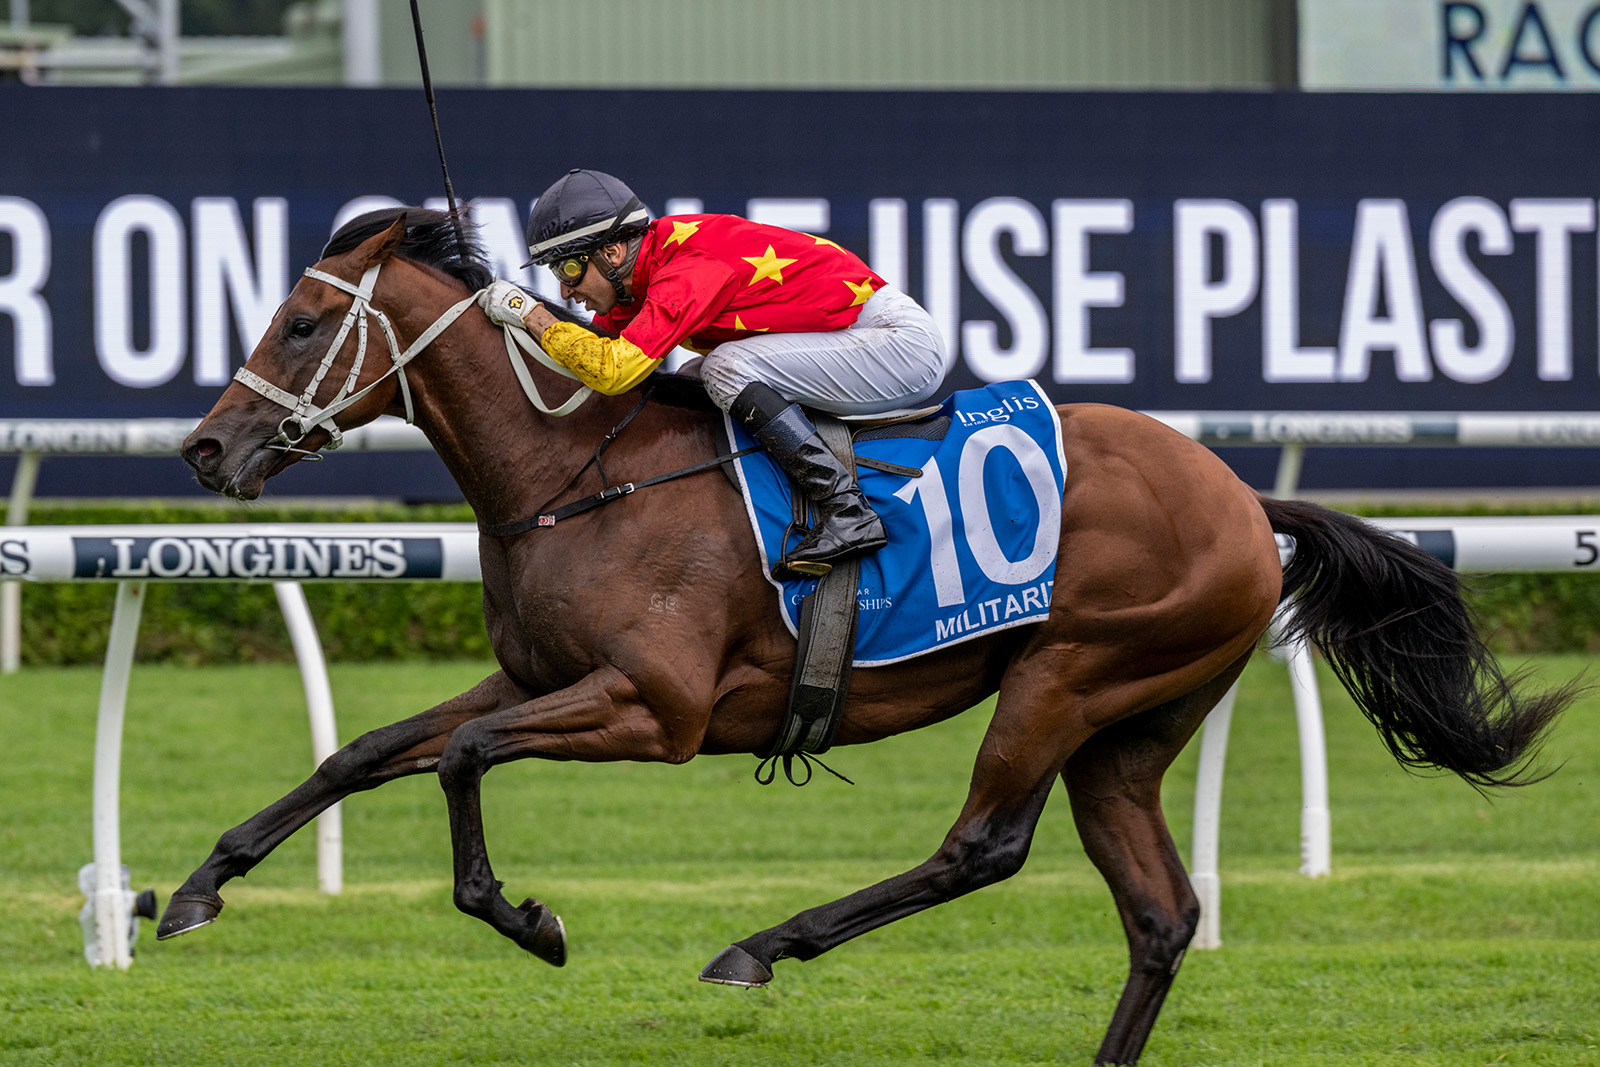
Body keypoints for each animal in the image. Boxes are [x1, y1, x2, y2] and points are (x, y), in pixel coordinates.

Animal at [164, 207, 1576, 1066]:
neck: (576, 469)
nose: (206, 449)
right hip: (1132, 725)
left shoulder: (653, 708)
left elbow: (461, 762)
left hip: (1071, 673)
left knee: (982, 846)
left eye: (300, 322)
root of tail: (1239, 494)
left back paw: (759, 945)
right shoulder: (537, 675)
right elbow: (363, 752)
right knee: (1160, 913)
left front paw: (529, 918)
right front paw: (191, 887)